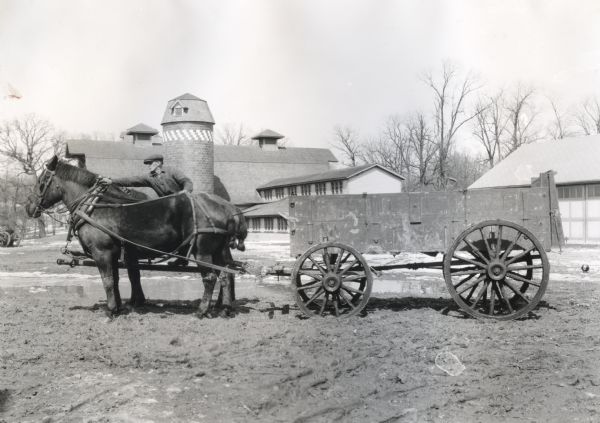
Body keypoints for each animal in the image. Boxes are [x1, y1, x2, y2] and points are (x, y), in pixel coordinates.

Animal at [25, 156, 246, 318]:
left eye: (42, 182)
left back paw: (202, 310)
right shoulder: (115, 254)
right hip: (217, 251)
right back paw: (225, 308)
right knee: (226, 275)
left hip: (202, 252)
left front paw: (112, 311)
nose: (28, 206)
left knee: (210, 277)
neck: (95, 207)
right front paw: (120, 306)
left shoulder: (102, 252)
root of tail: (227, 208)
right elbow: (117, 279)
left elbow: (107, 280)